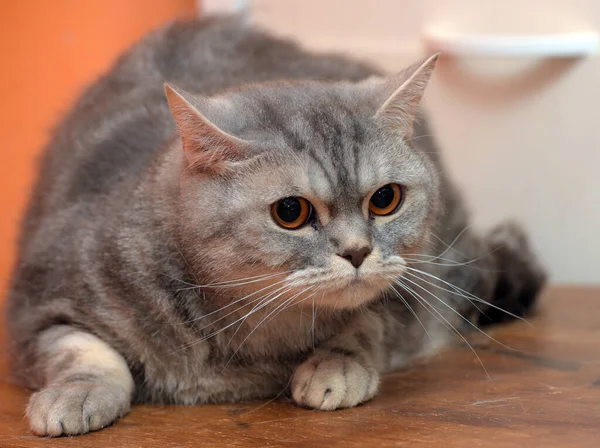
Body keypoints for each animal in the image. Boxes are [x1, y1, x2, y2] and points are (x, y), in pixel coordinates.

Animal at [4, 15, 548, 436]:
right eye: (291, 212)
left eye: (385, 200)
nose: (357, 251)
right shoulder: (35, 309)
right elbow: (83, 351)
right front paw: (76, 394)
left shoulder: (413, 290)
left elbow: (366, 322)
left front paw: (335, 364)